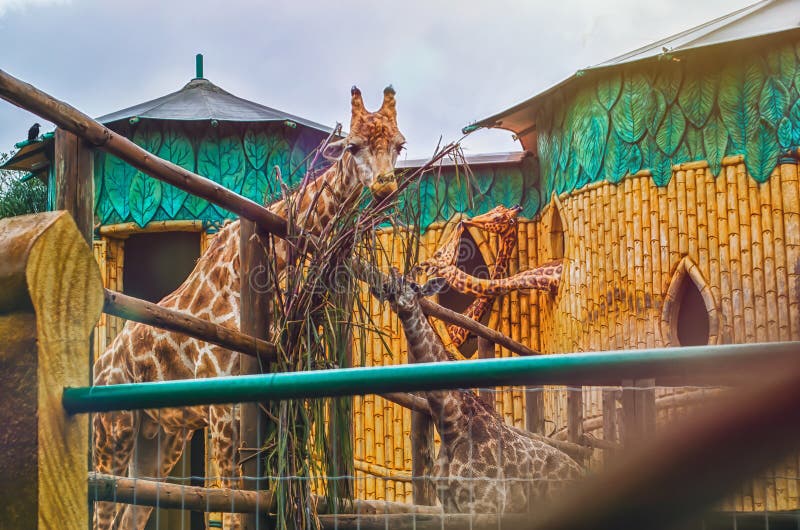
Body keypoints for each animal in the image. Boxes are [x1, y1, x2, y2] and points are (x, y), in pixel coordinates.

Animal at [94, 86, 406, 528]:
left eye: (399, 145)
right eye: (353, 146)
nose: (385, 187)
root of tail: (99, 367)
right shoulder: (222, 407)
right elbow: (233, 507)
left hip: (159, 438)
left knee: (129, 513)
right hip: (113, 432)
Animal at [372, 268, 584, 512]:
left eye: (415, 287)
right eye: (389, 284)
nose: (391, 291)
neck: (452, 427)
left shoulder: (486, 503)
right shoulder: (451, 506)